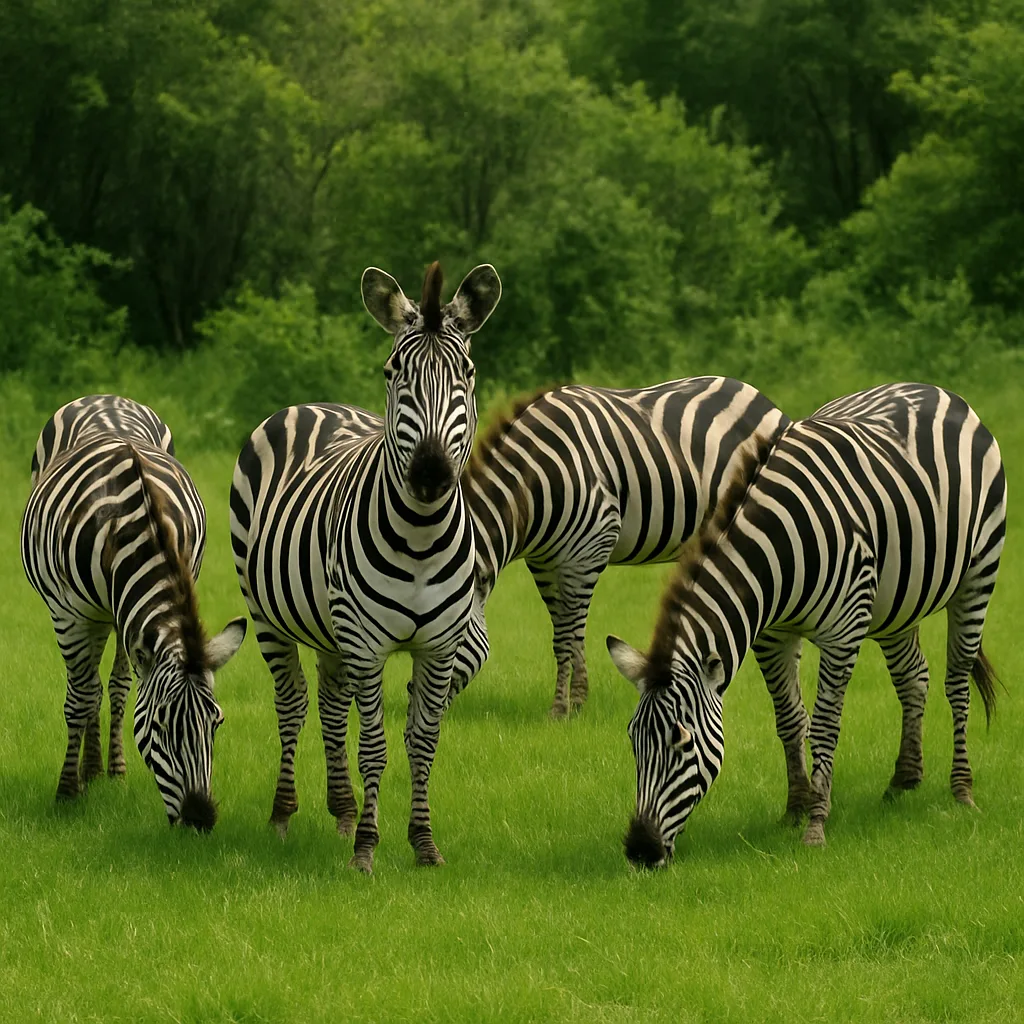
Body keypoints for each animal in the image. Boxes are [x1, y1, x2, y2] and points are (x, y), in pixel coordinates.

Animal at [21, 395, 247, 829]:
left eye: (217, 723)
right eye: (160, 725)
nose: (200, 819)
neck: (134, 525)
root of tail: (106, 397)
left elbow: (116, 687)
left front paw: (104, 773)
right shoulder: (69, 615)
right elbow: (79, 698)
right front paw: (67, 792)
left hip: (116, 616)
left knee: (115, 684)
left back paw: (107, 769)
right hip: (88, 614)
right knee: (88, 687)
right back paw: (87, 772)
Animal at [229, 261, 501, 873]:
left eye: (468, 372)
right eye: (393, 371)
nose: (430, 473)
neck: (422, 538)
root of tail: (315, 405)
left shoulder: (439, 647)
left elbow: (423, 741)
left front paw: (423, 844)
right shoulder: (368, 643)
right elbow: (374, 745)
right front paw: (367, 852)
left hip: (332, 629)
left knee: (331, 707)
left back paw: (343, 811)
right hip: (269, 615)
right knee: (293, 704)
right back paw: (284, 815)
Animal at [452, 377, 791, 716]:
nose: (445, 714)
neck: (533, 482)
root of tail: (756, 394)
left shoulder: (589, 550)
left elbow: (569, 634)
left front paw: (567, 706)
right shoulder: (544, 564)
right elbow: (562, 633)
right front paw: (572, 702)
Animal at [607, 383, 1006, 865]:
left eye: (682, 743)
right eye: (633, 740)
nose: (640, 850)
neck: (774, 554)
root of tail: (930, 387)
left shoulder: (842, 632)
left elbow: (824, 726)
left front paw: (816, 823)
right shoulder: (772, 636)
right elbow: (789, 719)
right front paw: (796, 807)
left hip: (977, 573)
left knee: (957, 681)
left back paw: (962, 790)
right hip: (895, 603)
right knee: (915, 677)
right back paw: (902, 780)